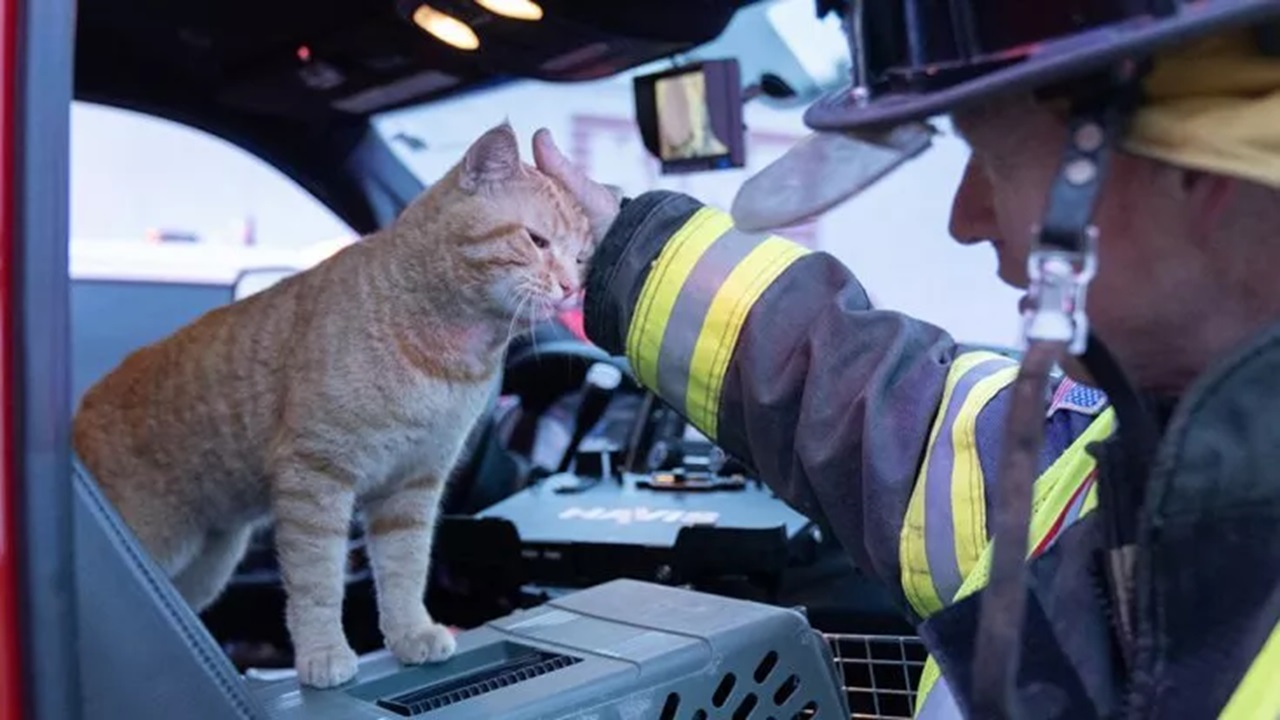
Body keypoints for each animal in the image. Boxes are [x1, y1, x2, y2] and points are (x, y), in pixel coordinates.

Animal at [70, 121, 588, 681]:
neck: (446, 355)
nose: (571, 288)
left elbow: (406, 568)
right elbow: (317, 580)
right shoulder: (316, 477)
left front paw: (410, 633)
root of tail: (81, 408)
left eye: (581, 258)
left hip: (209, 564)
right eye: (536, 241)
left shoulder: (413, 485)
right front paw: (322, 652)